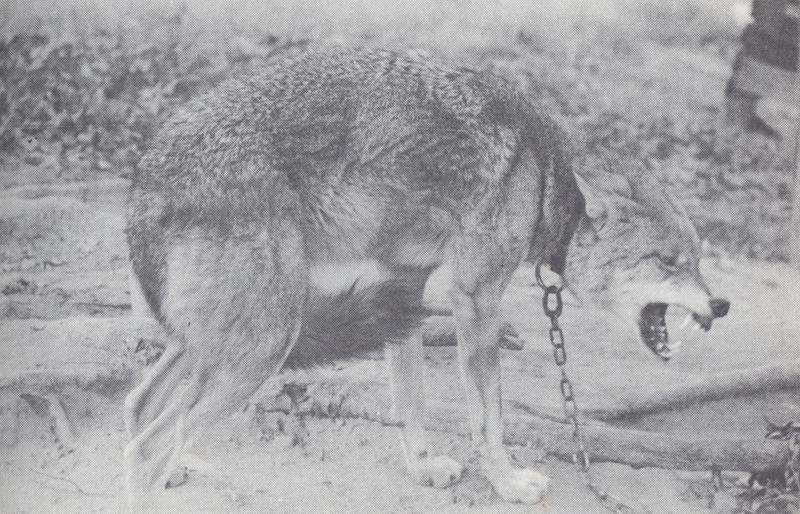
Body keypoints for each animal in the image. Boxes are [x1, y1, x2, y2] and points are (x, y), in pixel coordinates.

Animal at [122, 48, 728, 508]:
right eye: (667, 262)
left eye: (698, 259)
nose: (721, 306)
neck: (541, 176)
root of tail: (145, 177)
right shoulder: (477, 301)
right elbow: (489, 418)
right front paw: (508, 483)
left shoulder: (402, 287)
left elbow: (411, 401)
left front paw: (422, 470)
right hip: (263, 346)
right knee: (148, 445)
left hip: (221, 344)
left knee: (140, 406)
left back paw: (176, 466)